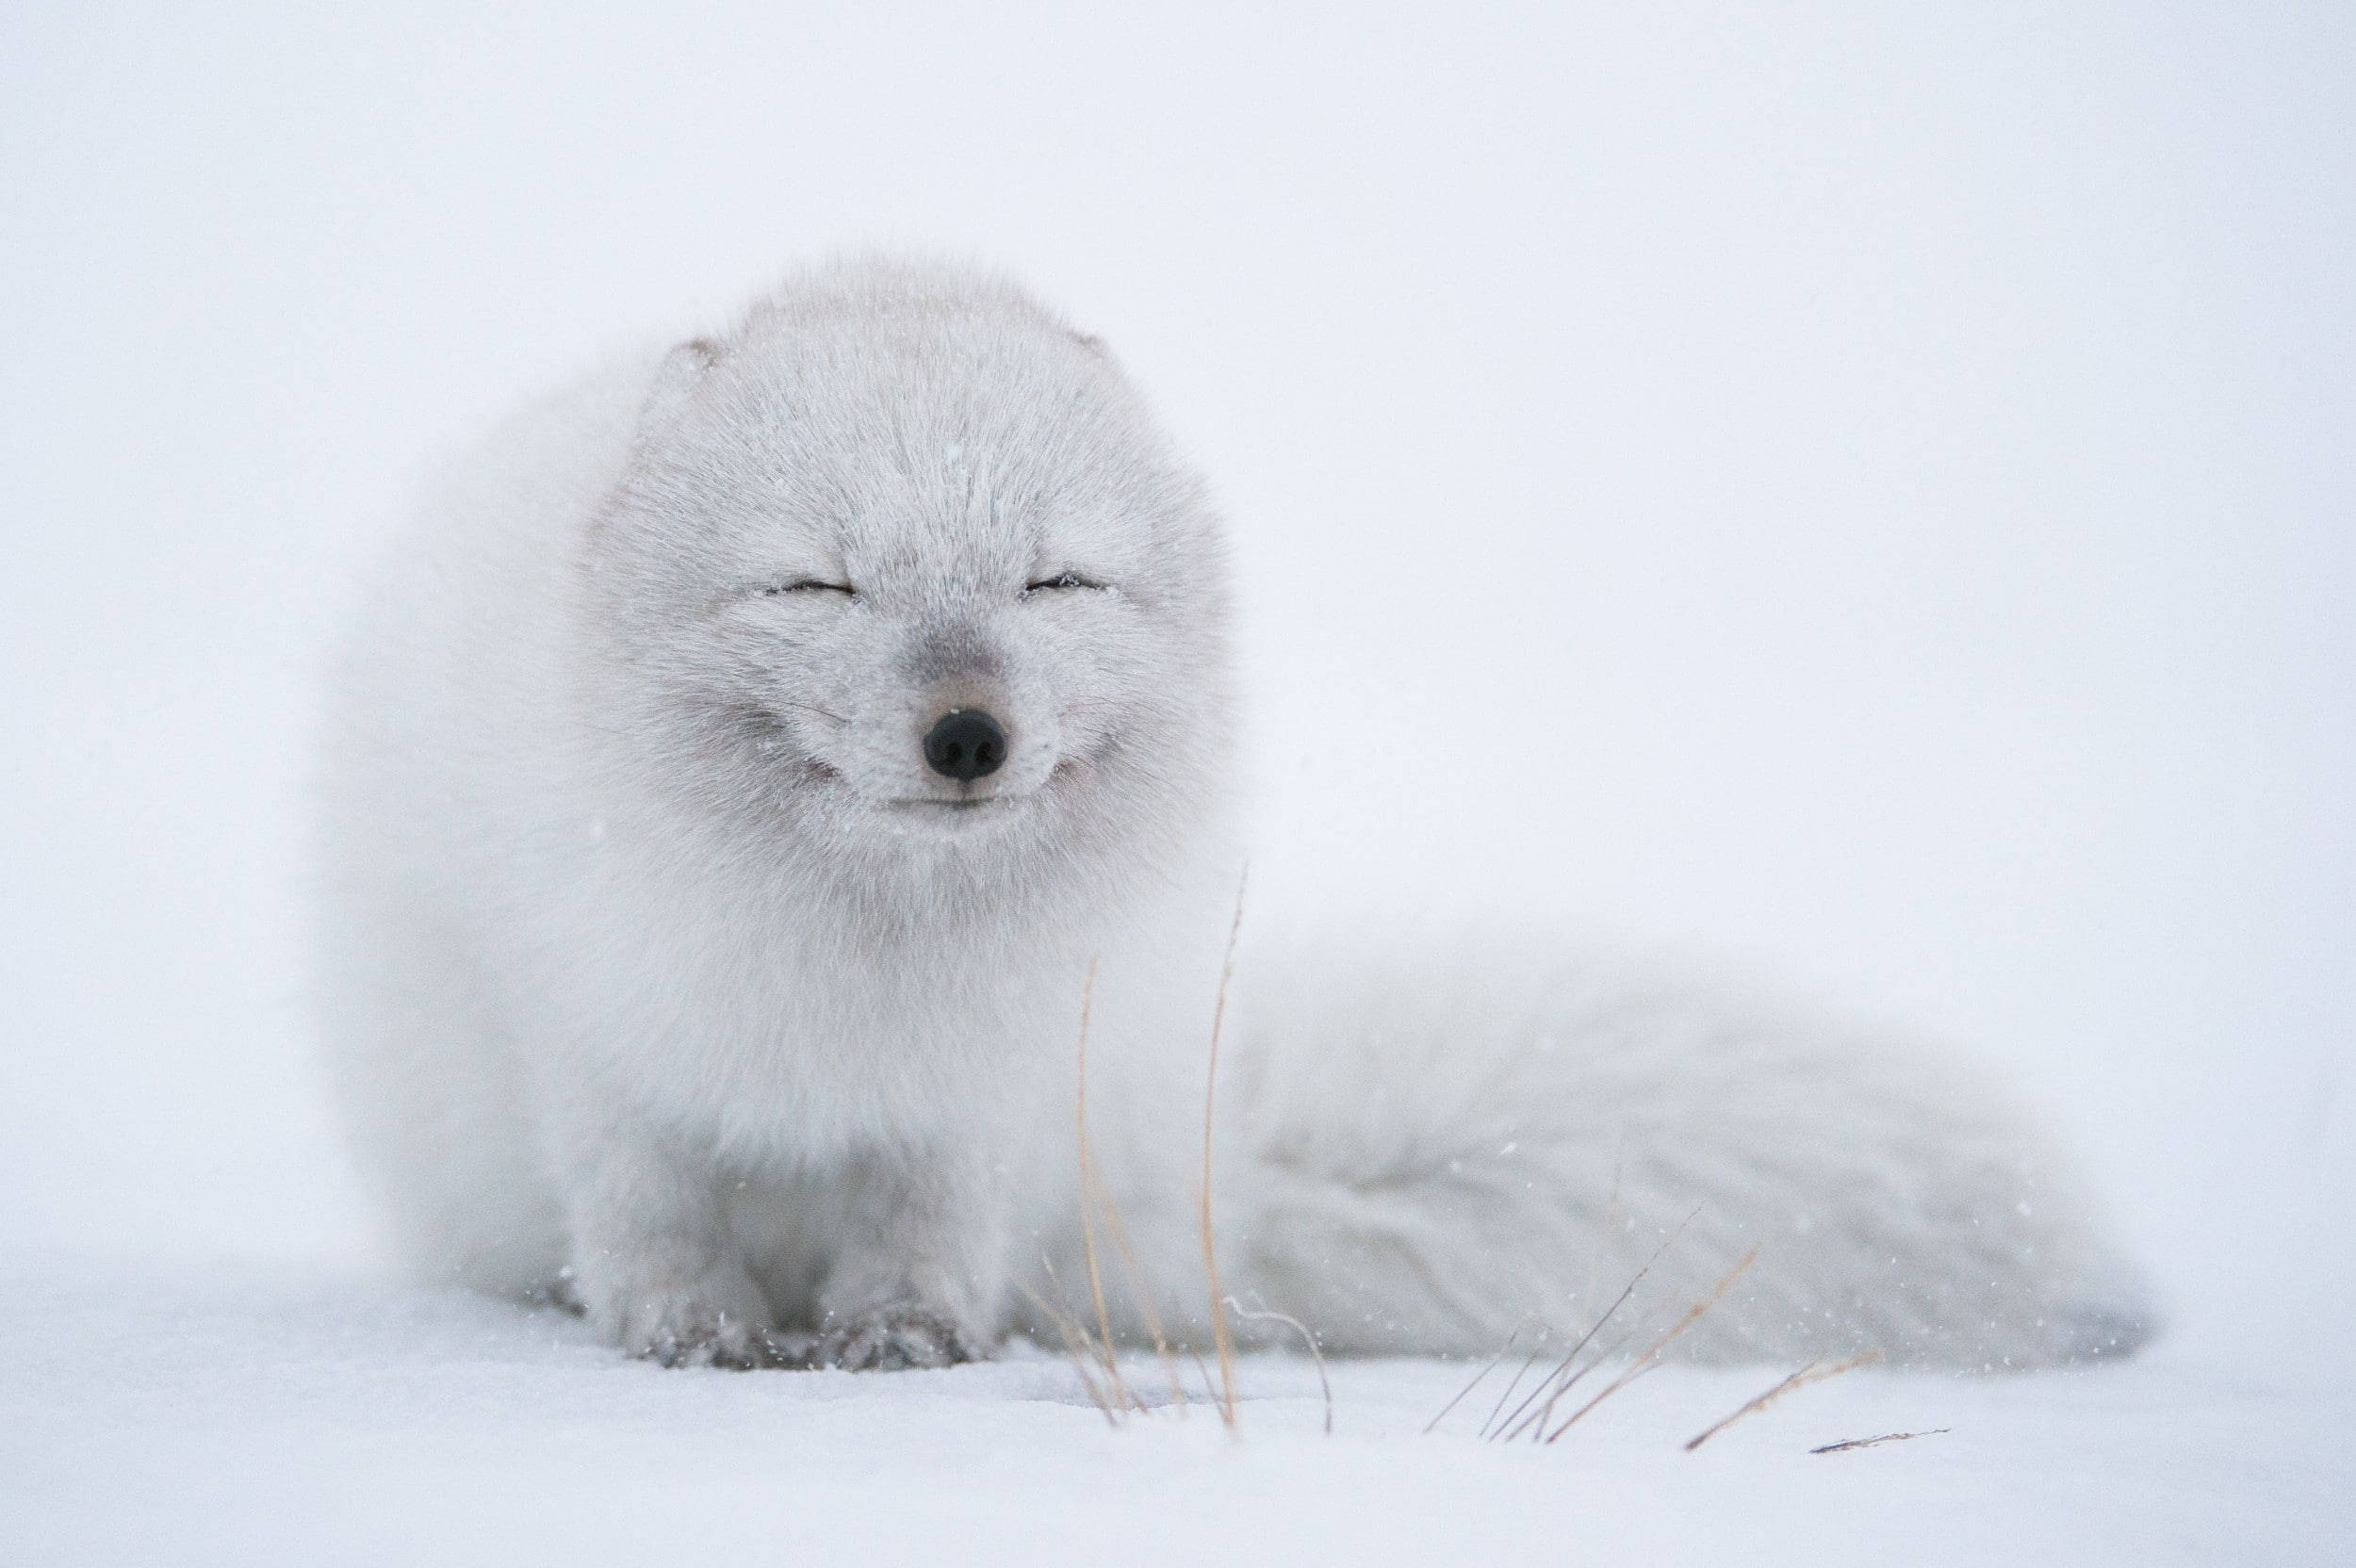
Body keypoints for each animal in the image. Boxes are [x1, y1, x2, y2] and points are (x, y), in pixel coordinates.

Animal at [314, 258, 2152, 1372]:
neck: (873, 960)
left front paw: (905, 1339)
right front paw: (688, 1333)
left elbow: (929, 1227)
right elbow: (646, 1208)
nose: (968, 732)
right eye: (816, 583)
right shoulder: (590, 1025)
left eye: (1055, 580)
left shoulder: (987, 1088)